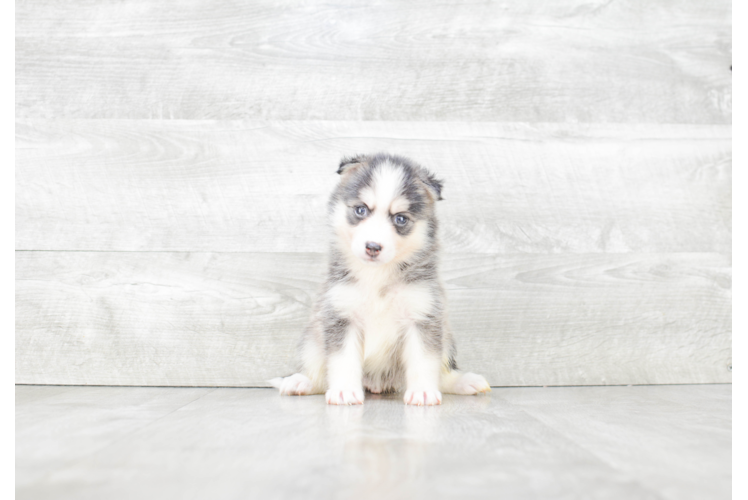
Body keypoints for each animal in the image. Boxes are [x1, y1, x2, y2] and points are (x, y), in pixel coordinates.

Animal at [268, 154, 490, 404]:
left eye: (400, 219)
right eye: (361, 210)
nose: (373, 246)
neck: (377, 276)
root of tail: (377, 384)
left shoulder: (423, 315)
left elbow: (424, 361)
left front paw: (423, 391)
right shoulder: (341, 316)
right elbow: (342, 360)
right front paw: (344, 390)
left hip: (447, 338)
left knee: (443, 373)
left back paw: (464, 381)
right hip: (312, 338)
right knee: (318, 372)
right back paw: (301, 382)